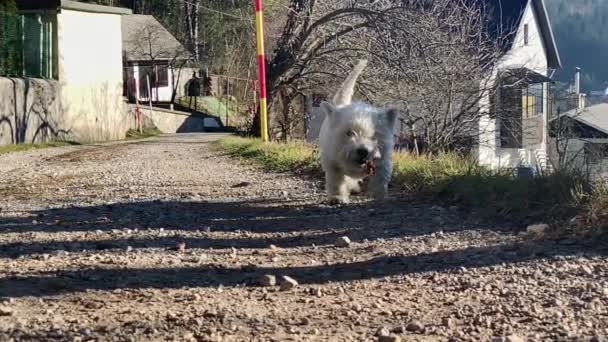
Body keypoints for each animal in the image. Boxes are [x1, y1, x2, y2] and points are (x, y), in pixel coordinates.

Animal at [318, 59, 400, 204]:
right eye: (349, 133)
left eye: (374, 135)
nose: (362, 151)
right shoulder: (332, 163)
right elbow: (336, 181)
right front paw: (337, 198)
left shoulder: (383, 161)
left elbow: (380, 180)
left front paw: (379, 196)